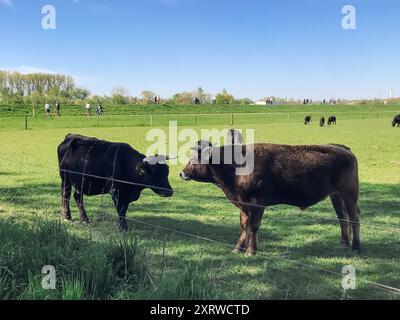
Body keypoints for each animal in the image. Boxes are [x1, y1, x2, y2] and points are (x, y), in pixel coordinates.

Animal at [180, 141, 360, 256]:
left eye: (193, 160)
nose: (182, 173)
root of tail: (342, 148)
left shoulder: (257, 202)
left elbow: (254, 226)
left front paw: (251, 251)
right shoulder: (243, 203)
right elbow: (244, 225)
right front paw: (238, 248)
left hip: (349, 194)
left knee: (354, 217)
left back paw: (356, 246)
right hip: (336, 196)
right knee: (342, 217)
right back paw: (344, 243)